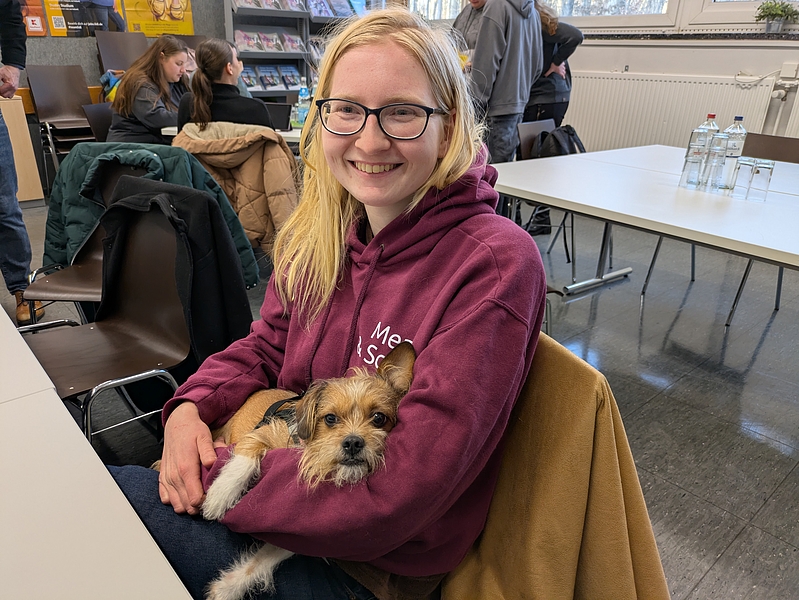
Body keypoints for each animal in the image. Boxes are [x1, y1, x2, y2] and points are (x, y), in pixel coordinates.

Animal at [198, 341, 416, 600]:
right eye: (330, 418)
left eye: (379, 418)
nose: (354, 442)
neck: (309, 451)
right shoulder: (263, 433)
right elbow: (245, 457)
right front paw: (220, 495)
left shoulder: (295, 535)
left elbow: (265, 559)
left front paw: (229, 587)